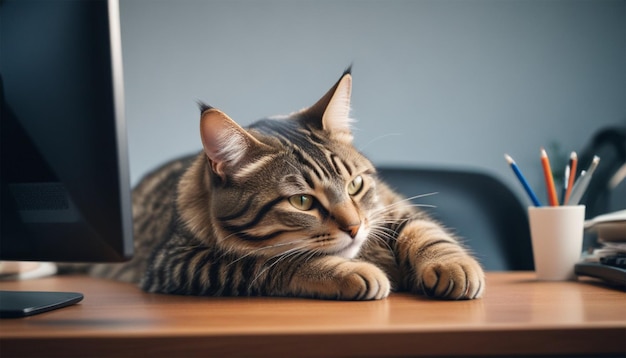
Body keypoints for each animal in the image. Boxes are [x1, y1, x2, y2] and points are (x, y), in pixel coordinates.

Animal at [90, 68, 486, 300]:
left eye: (355, 184)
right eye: (302, 202)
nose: (355, 228)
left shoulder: (390, 206)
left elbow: (423, 229)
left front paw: (453, 264)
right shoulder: (178, 262)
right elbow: (274, 262)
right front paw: (350, 271)